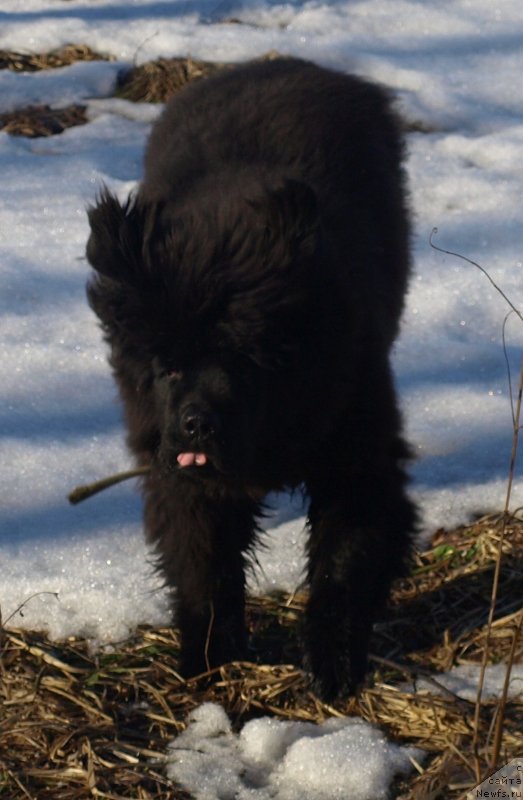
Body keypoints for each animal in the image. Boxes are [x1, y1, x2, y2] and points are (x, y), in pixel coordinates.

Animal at [86, 57, 418, 700]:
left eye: (244, 360)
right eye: (167, 366)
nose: (196, 423)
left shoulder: (358, 452)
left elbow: (344, 562)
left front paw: (333, 666)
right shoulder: (179, 475)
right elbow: (203, 565)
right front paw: (208, 660)